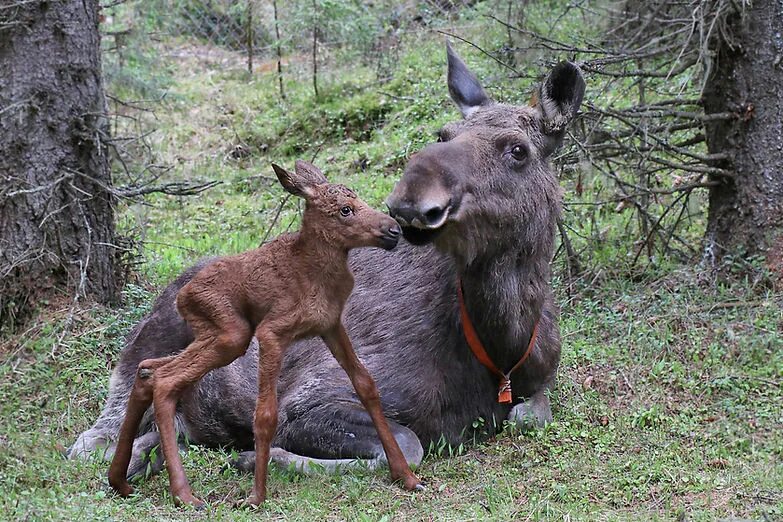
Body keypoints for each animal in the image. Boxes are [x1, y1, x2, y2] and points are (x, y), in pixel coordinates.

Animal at [108, 160, 422, 506]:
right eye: (345, 209)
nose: (393, 229)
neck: (323, 277)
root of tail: (182, 296)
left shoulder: (331, 326)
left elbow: (366, 385)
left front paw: (406, 477)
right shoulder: (273, 332)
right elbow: (266, 415)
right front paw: (256, 496)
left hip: (216, 338)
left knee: (148, 369)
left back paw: (120, 480)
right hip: (232, 335)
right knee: (164, 379)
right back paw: (182, 493)